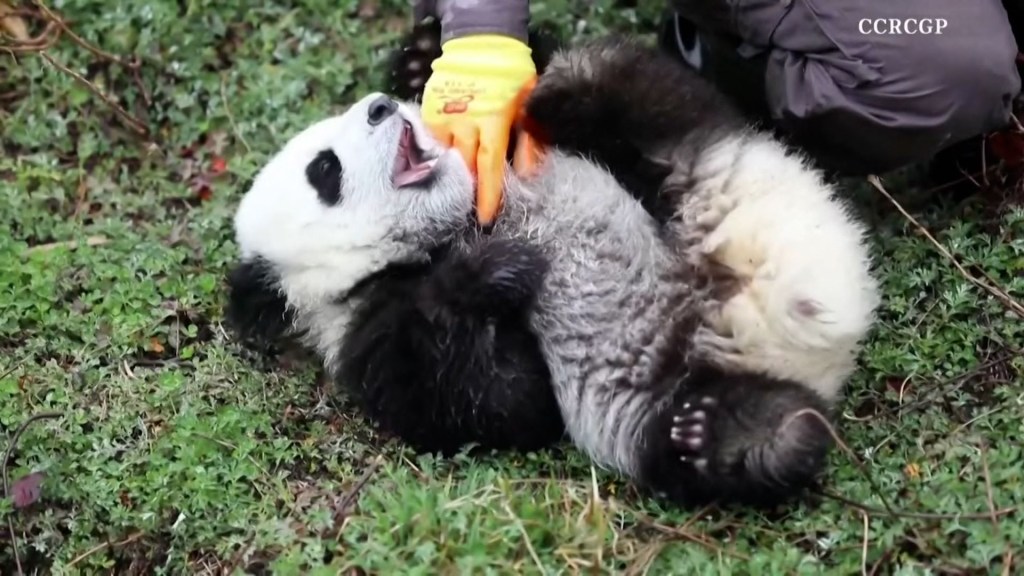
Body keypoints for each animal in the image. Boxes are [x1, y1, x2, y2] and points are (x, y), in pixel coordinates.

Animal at [226, 26, 880, 504]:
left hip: (699, 178)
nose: (380, 109)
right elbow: (506, 400)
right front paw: (495, 270)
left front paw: (429, 63)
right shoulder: (371, 333)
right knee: (721, 431)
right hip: (656, 398)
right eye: (326, 170)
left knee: (658, 106)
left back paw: (564, 83)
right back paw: (743, 438)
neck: (452, 226)